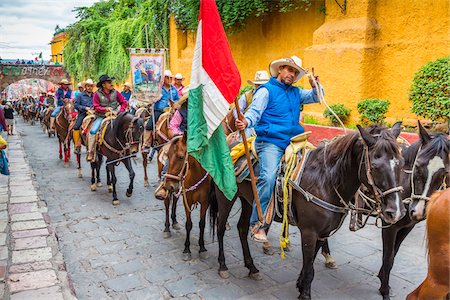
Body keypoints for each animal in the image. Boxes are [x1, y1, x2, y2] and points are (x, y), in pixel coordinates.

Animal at [209, 122, 406, 298]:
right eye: (375, 166)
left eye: (402, 163)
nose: (396, 211)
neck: (326, 181)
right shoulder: (309, 231)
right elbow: (310, 269)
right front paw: (305, 294)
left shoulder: (322, 233)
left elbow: (309, 264)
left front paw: (300, 285)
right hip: (226, 196)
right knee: (220, 228)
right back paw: (223, 266)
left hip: (247, 201)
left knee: (242, 229)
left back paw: (252, 268)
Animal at [378, 120, 448, 298]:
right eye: (417, 166)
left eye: (444, 173)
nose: (418, 211)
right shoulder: (389, 227)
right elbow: (388, 258)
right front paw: (384, 289)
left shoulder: (407, 226)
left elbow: (394, 254)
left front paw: (382, 278)